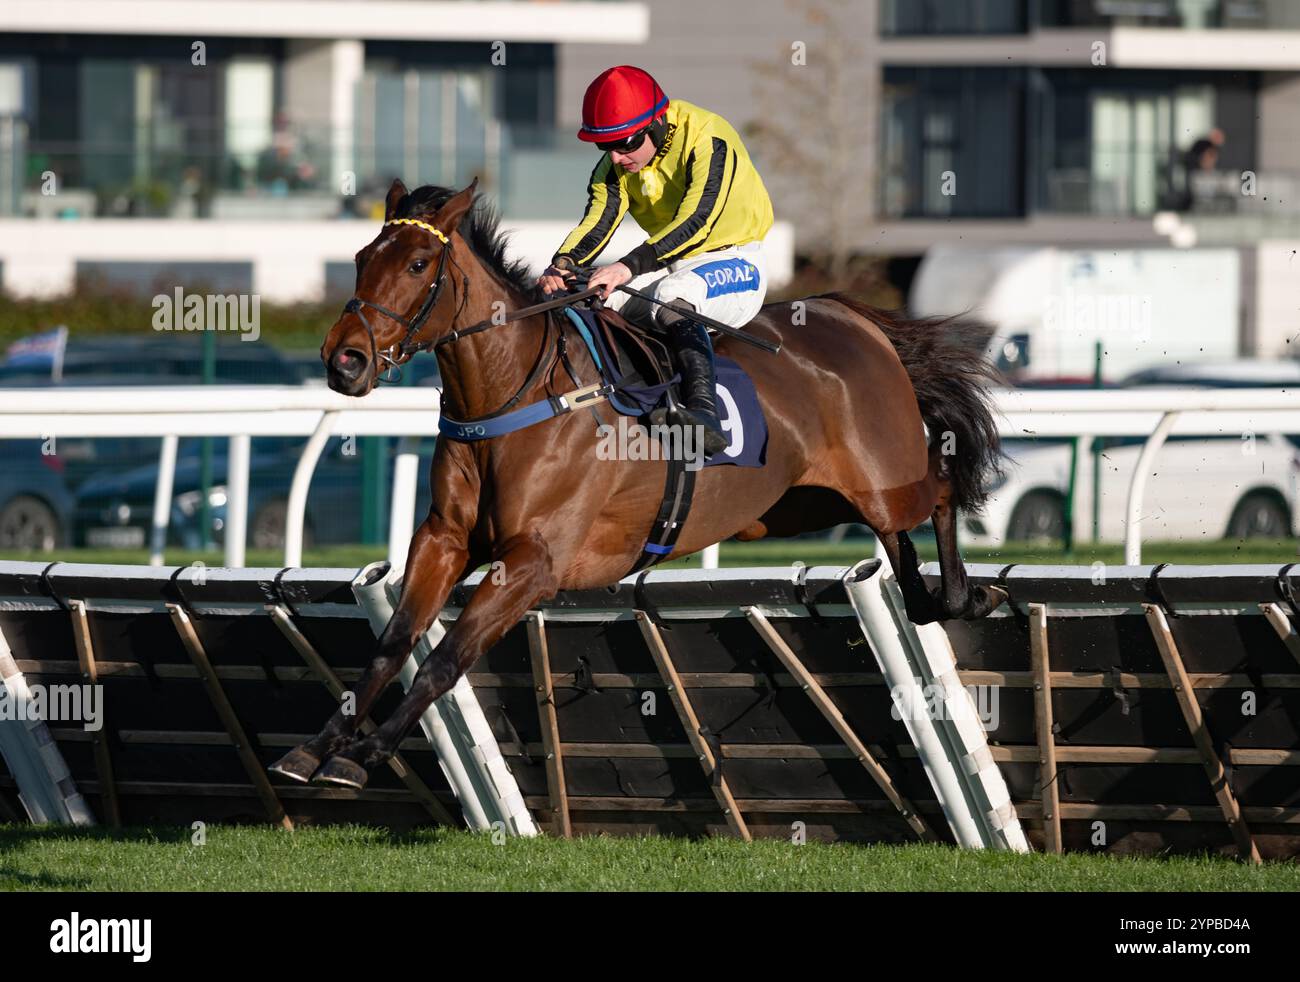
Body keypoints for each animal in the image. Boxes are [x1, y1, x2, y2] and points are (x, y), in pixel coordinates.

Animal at [269, 178, 1008, 790]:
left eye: (419, 265)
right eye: (362, 257)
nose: (343, 360)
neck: (513, 394)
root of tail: (852, 317)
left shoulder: (534, 562)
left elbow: (446, 657)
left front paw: (365, 755)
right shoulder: (444, 540)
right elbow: (392, 646)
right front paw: (315, 748)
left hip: (885, 482)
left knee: (942, 491)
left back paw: (967, 594)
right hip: (794, 507)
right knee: (901, 553)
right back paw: (933, 596)